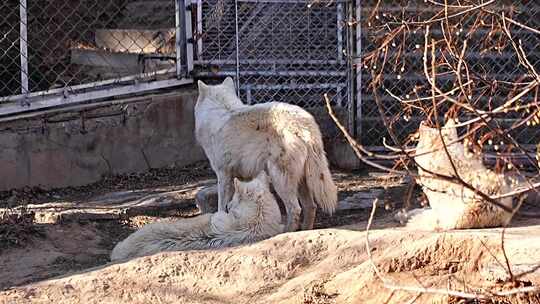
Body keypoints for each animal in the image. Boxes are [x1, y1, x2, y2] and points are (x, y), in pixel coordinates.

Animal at [194, 77, 338, 232]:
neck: (219, 110)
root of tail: (304, 126)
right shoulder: (243, 177)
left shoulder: (223, 175)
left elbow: (222, 204)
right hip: (302, 179)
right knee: (310, 206)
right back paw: (305, 230)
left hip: (280, 179)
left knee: (295, 208)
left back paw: (285, 231)